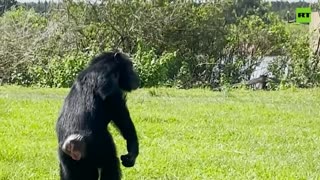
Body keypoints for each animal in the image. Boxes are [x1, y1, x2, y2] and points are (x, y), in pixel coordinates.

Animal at [56, 50, 140, 180]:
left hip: (67, 160)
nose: (135, 74)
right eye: (131, 65)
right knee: (111, 163)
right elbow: (122, 118)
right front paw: (132, 152)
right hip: (99, 146)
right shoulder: (112, 89)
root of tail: (71, 144)